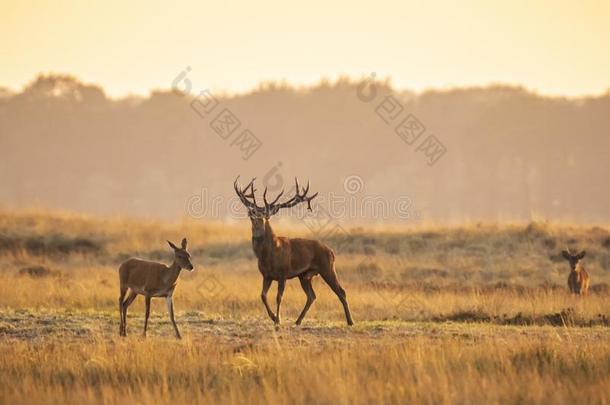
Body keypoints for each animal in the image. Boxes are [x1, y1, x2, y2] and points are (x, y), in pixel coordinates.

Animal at [234, 176, 356, 326]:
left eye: (263, 216)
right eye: (253, 214)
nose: (251, 212)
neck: (267, 256)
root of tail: (332, 252)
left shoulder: (283, 273)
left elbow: (279, 297)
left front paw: (278, 320)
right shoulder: (266, 275)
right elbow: (263, 296)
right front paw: (273, 317)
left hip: (327, 268)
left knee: (341, 291)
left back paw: (350, 321)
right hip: (304, 275)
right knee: (312, 296)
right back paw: (298, 321)